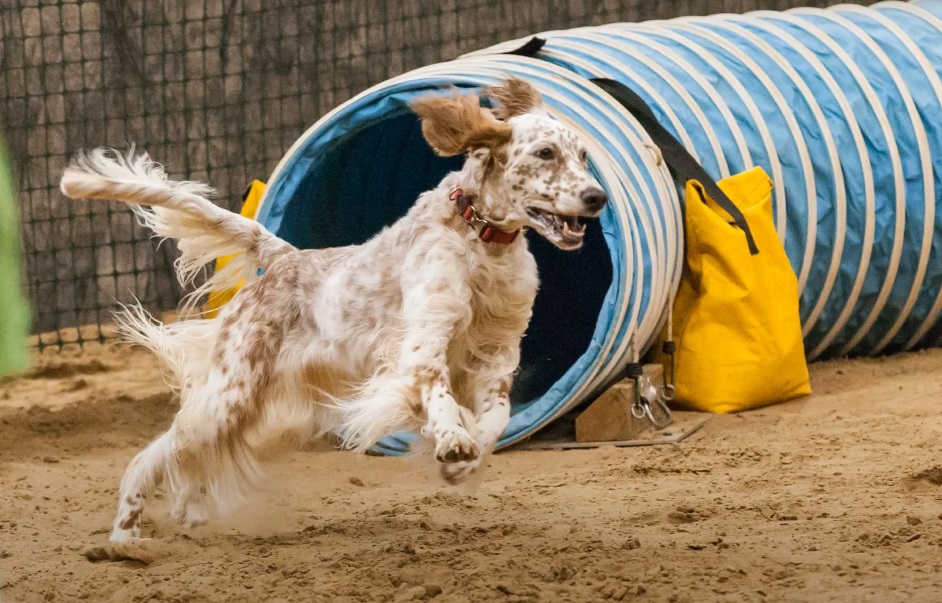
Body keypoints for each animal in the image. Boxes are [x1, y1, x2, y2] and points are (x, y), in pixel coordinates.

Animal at [59, 76, 608, 544]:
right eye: (544, 153)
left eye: (584, 155)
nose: (598, 196)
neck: (480, 241)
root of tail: (283, 256)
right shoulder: (423, 342)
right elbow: (439, 393)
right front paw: (452, 438)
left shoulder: (494, 357)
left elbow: (494, 422)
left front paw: (460, 462)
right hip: (230, 396)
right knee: (157, 453)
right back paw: (124, 536)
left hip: (268, 415)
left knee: (193, 459)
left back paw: (186, 514)